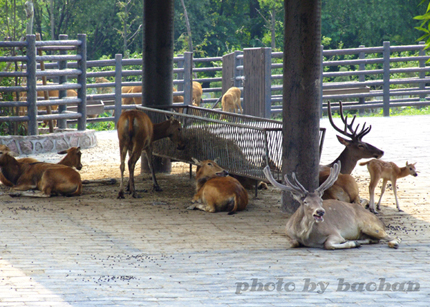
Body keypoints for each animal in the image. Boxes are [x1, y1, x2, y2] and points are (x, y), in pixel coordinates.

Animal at [264, 164, 402, 250]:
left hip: (370, 225)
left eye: (320, 200)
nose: (320, 211)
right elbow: (294, 243)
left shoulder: (334, 232)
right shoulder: (288, 234)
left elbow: (328, 244)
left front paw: (350, 243)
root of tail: (380, 221)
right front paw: (353, 242)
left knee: (393, 236)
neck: (305, 235)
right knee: (374, 239)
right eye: (305, 202)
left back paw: (392, 243)